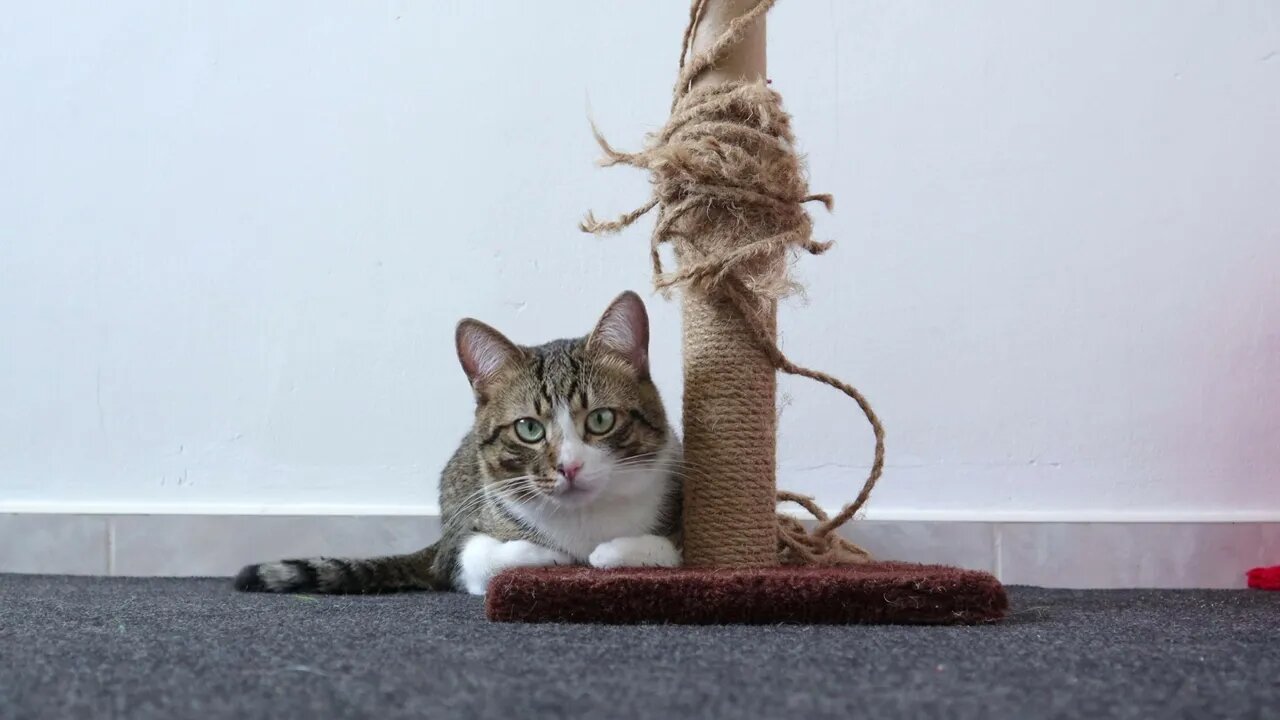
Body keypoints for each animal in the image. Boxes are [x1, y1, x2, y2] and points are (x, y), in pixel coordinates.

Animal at [235, 288, 686, 591]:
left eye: (601, 419)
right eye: (529, 428)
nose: (569, 466)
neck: (581, 521)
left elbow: (670, 550)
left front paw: (611, 552)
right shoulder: (463, 542)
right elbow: (478, 557)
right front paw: (549, 556)